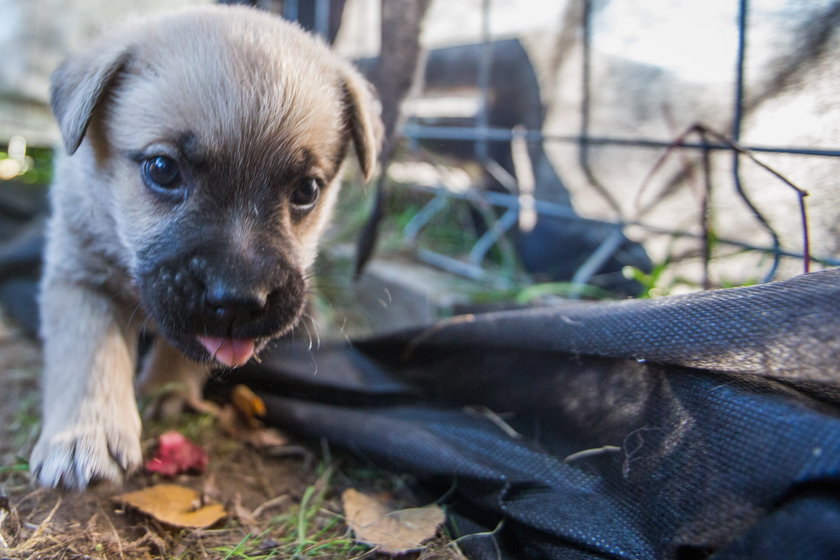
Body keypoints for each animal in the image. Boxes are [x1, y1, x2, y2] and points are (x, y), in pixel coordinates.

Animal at [28, 3, 378, 490]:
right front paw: (86, 434)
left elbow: (186, 345)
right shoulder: (78, 275)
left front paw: (167, 388)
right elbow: (89, 357)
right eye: (162, 169)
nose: (238, 300)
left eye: (307, 190)